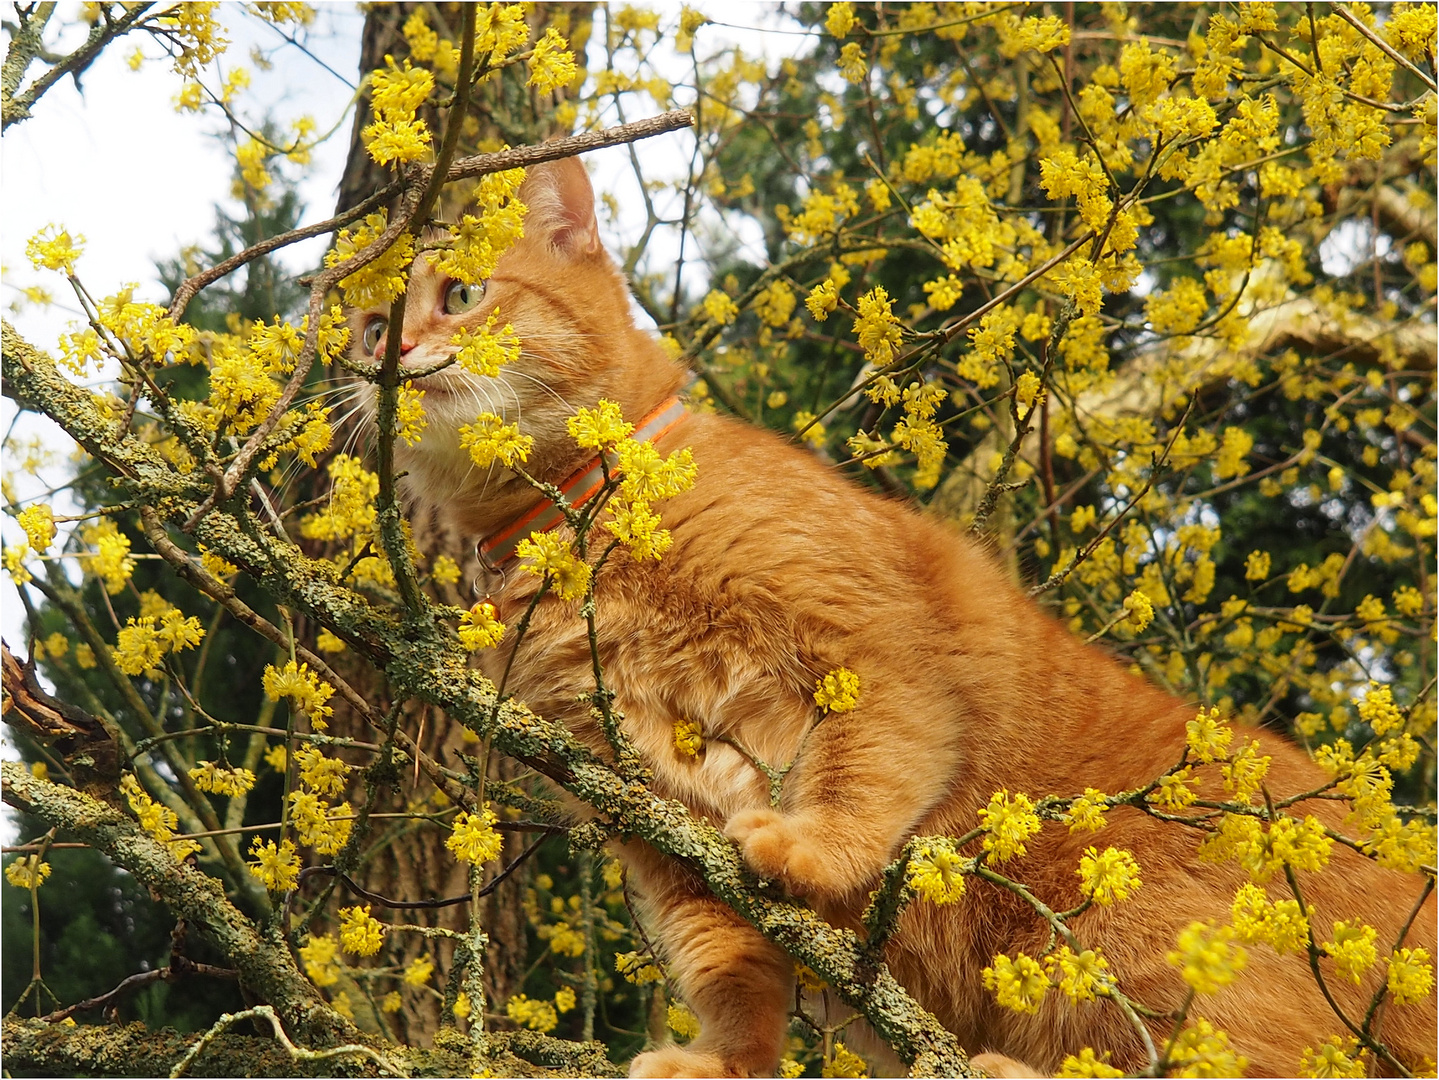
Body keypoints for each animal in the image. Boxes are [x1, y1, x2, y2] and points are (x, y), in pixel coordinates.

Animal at [351, 156, 1439, 1075]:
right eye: (365, 324)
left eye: (461, 293)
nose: (390, 351)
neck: (584, 527)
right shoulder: (647, 819)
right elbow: (724, 966)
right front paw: (726, 1059)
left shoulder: (868, 652)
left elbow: (861, 771)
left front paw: (813, 848)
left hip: (1129, 926)